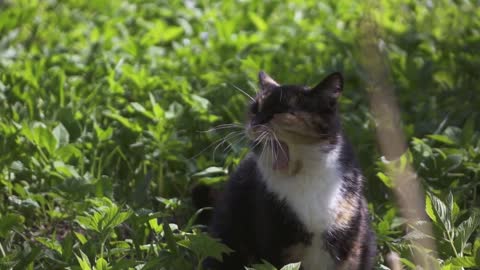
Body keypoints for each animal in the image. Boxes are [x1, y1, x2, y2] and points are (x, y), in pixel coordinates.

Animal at [202, 70, 376, 268]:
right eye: (255, 108)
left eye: (280, 111)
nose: (255, 123)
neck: (304, 175)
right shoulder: (275, 240)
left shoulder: (351, 244)